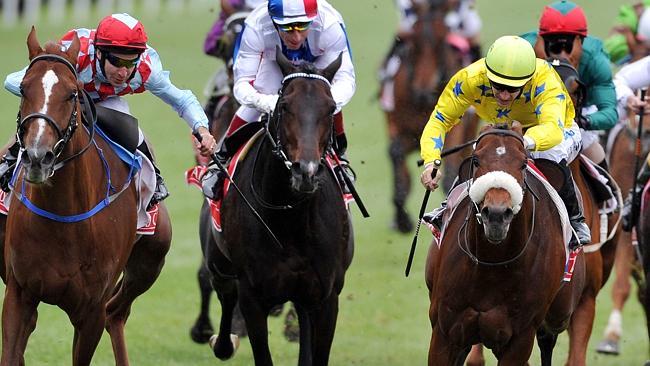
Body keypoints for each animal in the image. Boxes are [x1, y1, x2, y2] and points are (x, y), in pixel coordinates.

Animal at [0, 29, 171, 366]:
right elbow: (12, 352)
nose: (38, 157)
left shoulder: (90, 310)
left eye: (72, 93)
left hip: (150, 261)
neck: (63, 219)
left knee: (115, 313)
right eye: (24, 88)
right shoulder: (19, 294)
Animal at [204, 48, 352, 366]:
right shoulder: (252, 296)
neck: (290, 218)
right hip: (218, 263)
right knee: (224, 294)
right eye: (285, 106)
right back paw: (222, 342)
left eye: (331, 108)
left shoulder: (326, 296)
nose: (305, 171)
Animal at [382, 0, 478, 233]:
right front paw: (402, 218)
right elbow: (395, 152)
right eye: (413, 43)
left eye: (443, 42)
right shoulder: (397, 125)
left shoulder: (456, 130)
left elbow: (451, 168)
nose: (423, 92)